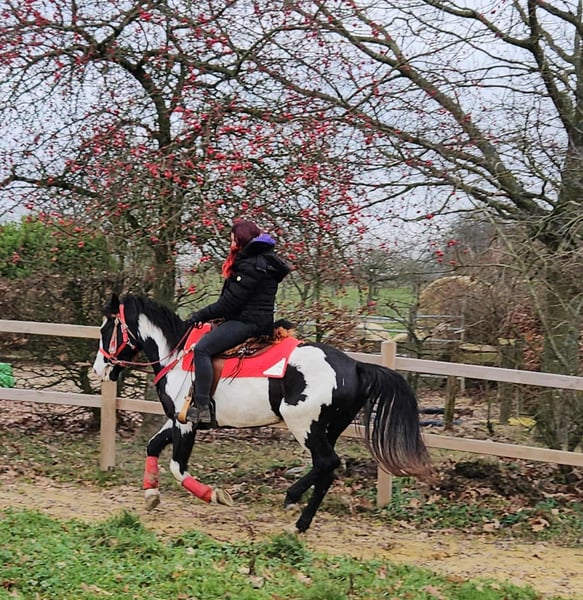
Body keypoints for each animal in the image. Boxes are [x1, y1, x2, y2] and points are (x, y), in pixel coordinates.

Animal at [92, 293, 430, 532]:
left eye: (106, 328)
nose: (99, 370)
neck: (176, 356)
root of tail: (356, 366)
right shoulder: (176, 419)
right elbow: (152, 446)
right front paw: (151, 494)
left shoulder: (186, 424)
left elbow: (178, 467)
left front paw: (214, 495)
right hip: (328, 428)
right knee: (326, 468)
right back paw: (298, 514)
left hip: (304, 426)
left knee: (327, 462)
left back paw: (295, 508)